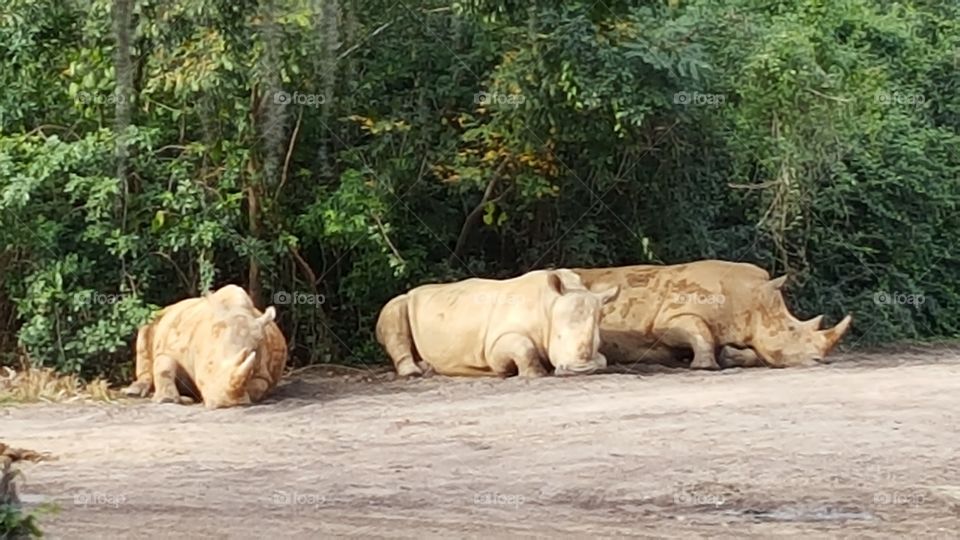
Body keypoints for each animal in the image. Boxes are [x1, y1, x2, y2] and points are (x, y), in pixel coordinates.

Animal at [120, 284, 286, 408]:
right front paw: (167, 400)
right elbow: (164, 365)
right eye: (209, 365)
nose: (225, 404)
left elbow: (257, 385)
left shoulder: (263, 372)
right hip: (157, 316)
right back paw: (133, 392)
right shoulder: (171, 346)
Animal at [372, 268, 620, 378]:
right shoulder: (494, 345)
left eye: (597, 342)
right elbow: (523, 347)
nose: (581, 370)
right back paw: (413, 373)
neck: (549, 305)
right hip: (400, 302)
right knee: (395, 311)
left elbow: (605, 358)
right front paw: (535, 374)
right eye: (558, 337)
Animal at [572, 260, 852, 370]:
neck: (751, 298)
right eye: (791, 331)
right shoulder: (668, 319)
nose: (819, 361)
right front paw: (705, 366)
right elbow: (700, 331)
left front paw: (727, 356)